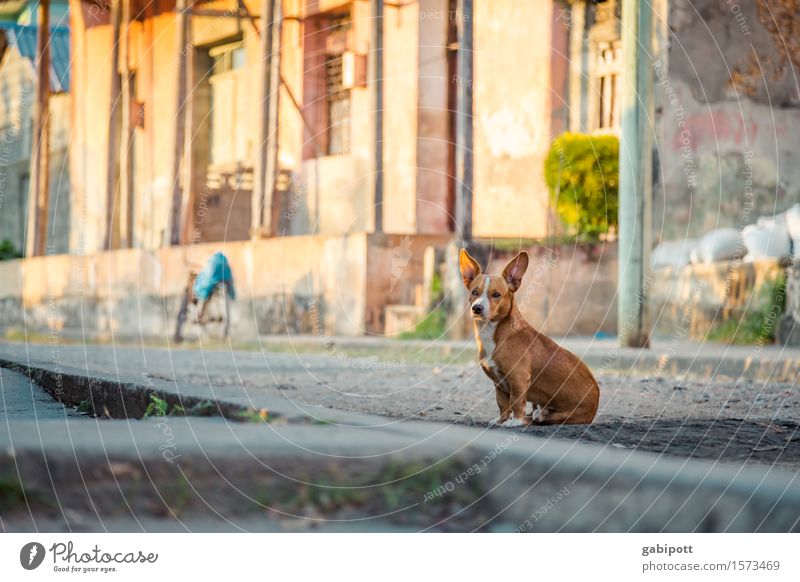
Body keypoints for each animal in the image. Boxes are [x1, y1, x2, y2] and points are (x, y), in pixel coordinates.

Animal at [460, 249, 596, 426]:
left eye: (496, 294)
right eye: (474, 292)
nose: (477, 308)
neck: (494, 332)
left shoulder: (519, 379)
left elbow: (516, 402)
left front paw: (515, 422)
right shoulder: (498, 384)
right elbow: (502, 404)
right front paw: (502, 420)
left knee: (540, 416)